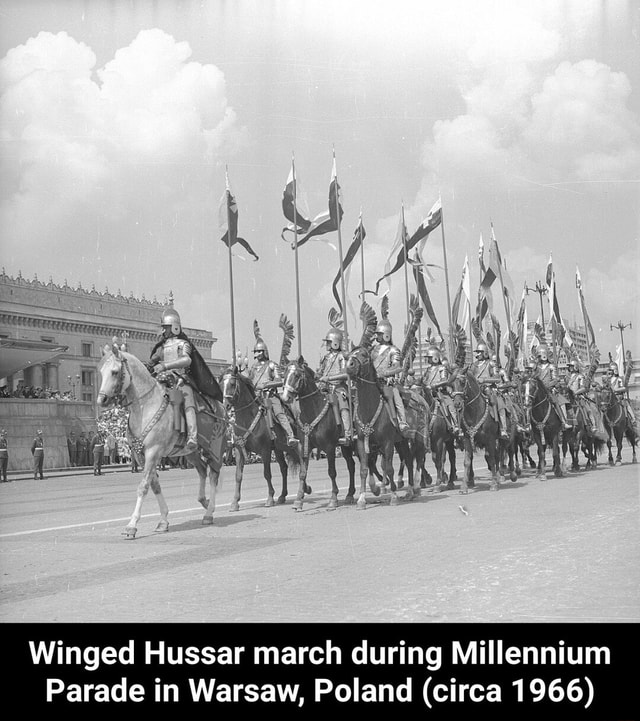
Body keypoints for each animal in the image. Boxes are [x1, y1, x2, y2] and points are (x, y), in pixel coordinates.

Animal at [97, 340, 228, 536]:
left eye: (114, 371)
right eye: (100, 372)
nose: (102, 400)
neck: (145, 406)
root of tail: (221, 407)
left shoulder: (153, 451)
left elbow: (143, 486)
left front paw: (132, 525)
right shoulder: (140, 455)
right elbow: (154, 484)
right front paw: (163, 520)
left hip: (214, 448)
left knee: (213, 474)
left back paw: (209, 512)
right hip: (191, 452)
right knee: (202, 470)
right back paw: (203, 501)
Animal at [221, 366, 306, 512]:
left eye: (232, 384)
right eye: (221, 384)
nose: (225, 405)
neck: (248, 418)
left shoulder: (265, 450)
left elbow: (267, 474)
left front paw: (270, 498)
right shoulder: (239, 449)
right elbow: (238, 476)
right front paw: (235, 502)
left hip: (294, 445)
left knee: (301, 462)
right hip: (278, 449)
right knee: (284, 468)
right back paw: (283, 496)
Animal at [282, 358, 358, 510]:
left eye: (297, 375)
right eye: (285, 374)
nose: (285, 397)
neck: (313, 410)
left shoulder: (329, 447)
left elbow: (332, 472)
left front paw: (333, 499)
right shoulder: (304, 446)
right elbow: (302, 473)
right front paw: (298, 500)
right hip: (345, 447)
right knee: (351, 466)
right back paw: (350, 494)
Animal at [342, 346, 418, 510]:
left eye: (364, 355)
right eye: (350, 354)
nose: (349, 366)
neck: (369, 408)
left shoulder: (387, 442)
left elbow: (389, 468)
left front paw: (394, 496)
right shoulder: (361, 442)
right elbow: (364, 469)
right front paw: (362, 500)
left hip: (409, 438)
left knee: (410, 460)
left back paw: (411, 490)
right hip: (400, 441)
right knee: (408, 459)